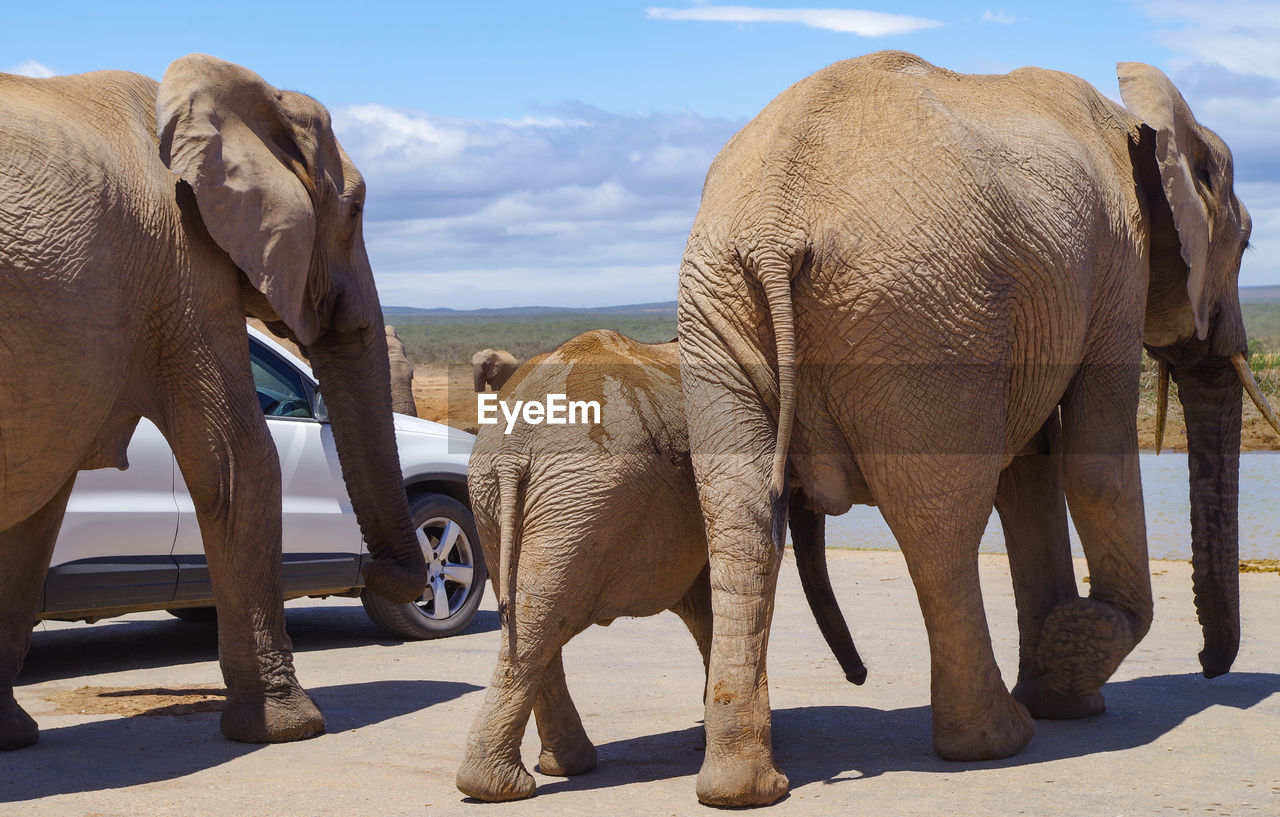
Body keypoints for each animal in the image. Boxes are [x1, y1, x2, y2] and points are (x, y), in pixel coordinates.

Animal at [0, 54, 430, 752]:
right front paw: (290, 729)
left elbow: (35, 505)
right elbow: (238, 459)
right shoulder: (181, 259)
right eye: (357, 209)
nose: (381, 572)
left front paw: (11, 736)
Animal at [455, 335, 865, 809]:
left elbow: (704, 608)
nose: (858, 677)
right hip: (582, 497)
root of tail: (513, 448)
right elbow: (706, 605)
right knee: (545, 617)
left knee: (529, 617)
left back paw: (541, 774)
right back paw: (516, 783)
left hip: (501, 497)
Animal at [675, 52, 1274, 814]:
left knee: (742, 512)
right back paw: (997, 742)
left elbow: (1031, 471)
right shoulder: (1118, 266)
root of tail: (776, 226)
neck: (1141, 123)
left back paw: (740, 787)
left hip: (725, 303)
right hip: (919, 316)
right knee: (940, 523)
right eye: (1247, 242)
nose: (1207, 665)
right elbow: (1093, 463)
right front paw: (1073, 652)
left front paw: (1065, 690)